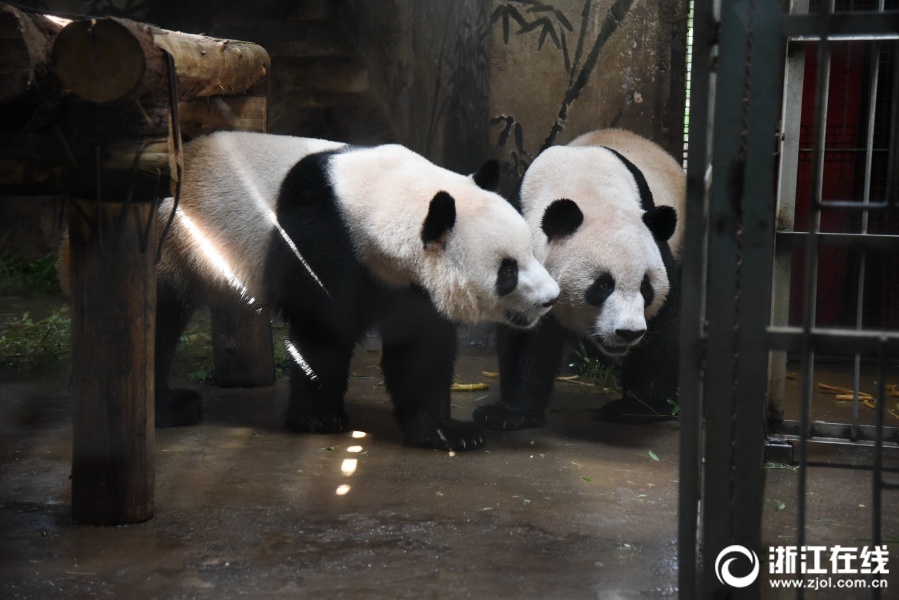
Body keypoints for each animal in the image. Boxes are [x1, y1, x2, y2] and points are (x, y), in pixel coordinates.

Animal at [59, 131, 560, 450]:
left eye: (531, 250)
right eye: (508, 271)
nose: (550, 299)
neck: (381, 198)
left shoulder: (405, 281)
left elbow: (421, 350)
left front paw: (446, 431)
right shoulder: (321, 234)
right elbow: (321, 332)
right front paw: (318, 419)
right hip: (172, 246)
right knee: (152, 327)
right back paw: (171, 408)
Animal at [474, 127, 684, 426]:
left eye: (646, 288)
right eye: (603, 285)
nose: (628, 332)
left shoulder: (658, 248)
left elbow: (663, 325)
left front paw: (639, 407)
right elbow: (525, 333)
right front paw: (509, 413)